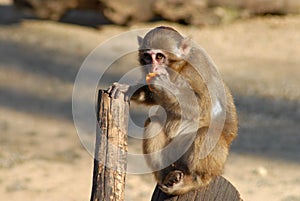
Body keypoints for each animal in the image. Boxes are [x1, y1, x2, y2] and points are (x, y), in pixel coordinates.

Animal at [106, 25, 238, 194]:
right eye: (147, 57)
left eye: (159, 57)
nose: (152, 66)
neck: (179, 68)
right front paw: (127, 89)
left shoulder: (197, 69)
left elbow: (204, 106)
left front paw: (165, 85)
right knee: (154, 123)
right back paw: (165, 176)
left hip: (214, 160)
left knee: (205, 133)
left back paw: (195, 180)